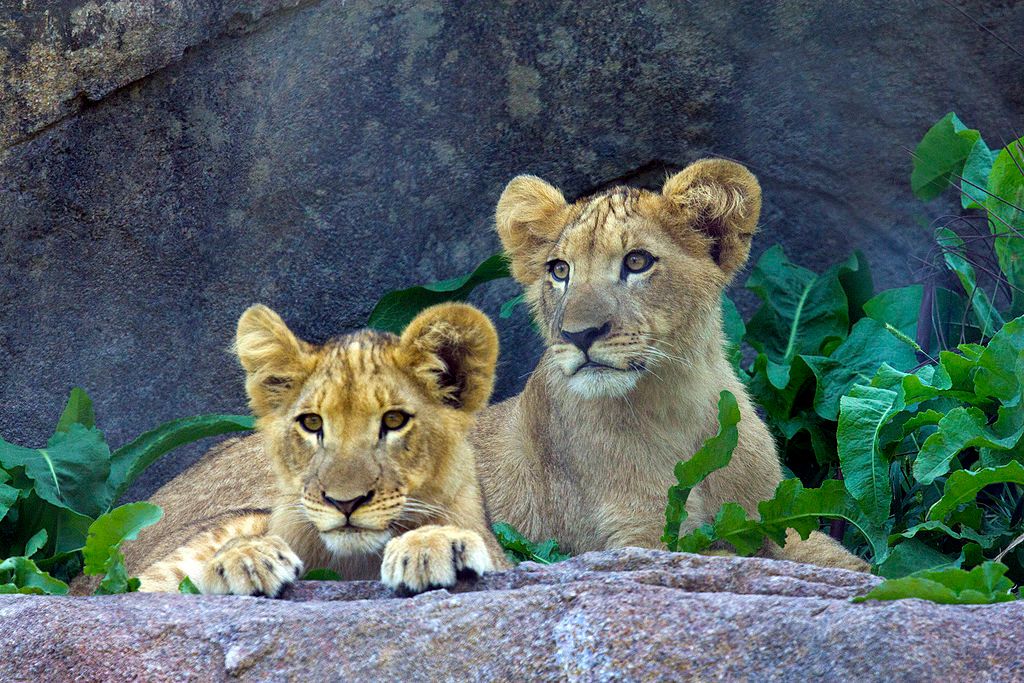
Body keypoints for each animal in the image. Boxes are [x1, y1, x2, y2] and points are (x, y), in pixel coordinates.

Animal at [119, 302, 509, 596]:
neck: (356, 564)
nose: (345, 502)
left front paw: (432, 544)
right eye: (311, 423)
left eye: (394, 420)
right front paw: (247, 558)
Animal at [471, 158, 868, 572]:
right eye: (560, 271)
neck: (677, 404)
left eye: (636, 261)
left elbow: (840, 558)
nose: (578, 335)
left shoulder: (774, 516)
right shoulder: (635, 542)